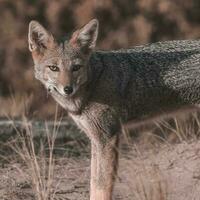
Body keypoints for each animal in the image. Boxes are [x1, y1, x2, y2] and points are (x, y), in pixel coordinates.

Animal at [27, 18, 200, 200]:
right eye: (54, 68)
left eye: (76, 68)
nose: (68, 89)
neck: (93, 83)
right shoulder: (96, 139)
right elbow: (93, 182)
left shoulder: (107, 137)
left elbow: (101, 187)